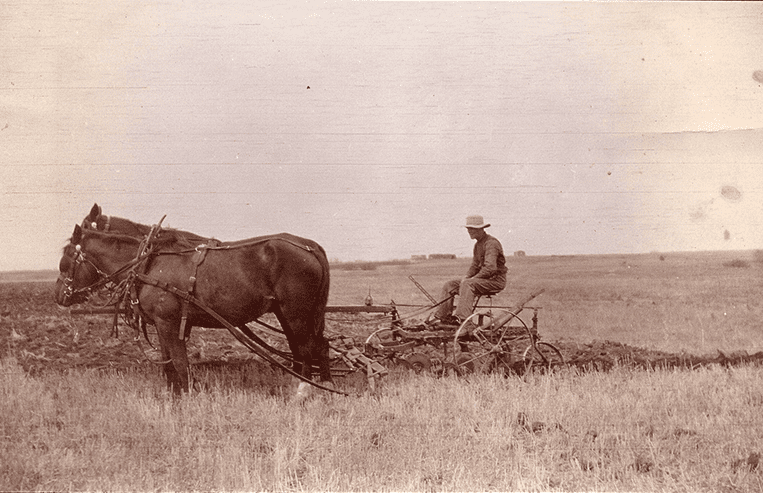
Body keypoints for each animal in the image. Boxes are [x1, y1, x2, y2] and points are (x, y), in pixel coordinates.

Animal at [54, 222, 333, 395]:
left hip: (296, 313)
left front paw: (188, 394)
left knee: (308, 347)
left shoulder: (169, 322)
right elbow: (168, 362)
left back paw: (304, 390)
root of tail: (310, 246)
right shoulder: (162, 324)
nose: (58, 296)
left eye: (65, 262)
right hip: (287, 313)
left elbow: (180, 362)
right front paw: (173, 395)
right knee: (311, 346)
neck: (148, 264)